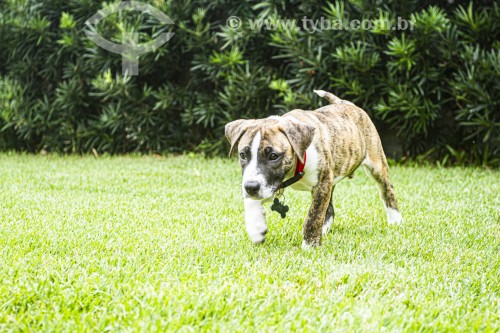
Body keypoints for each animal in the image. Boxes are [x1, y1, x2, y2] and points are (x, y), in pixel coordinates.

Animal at [226, 89, 402, 246]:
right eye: (243, 155)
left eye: (273, 156)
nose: (250, 187)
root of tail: (345, 103)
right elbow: (252, 202)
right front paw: (256, 228)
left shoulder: (322, 183)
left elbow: (314, 215)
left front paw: (309, 245)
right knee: (329, 209)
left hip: (376, 164)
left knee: (388, 190)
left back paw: (395, 220)